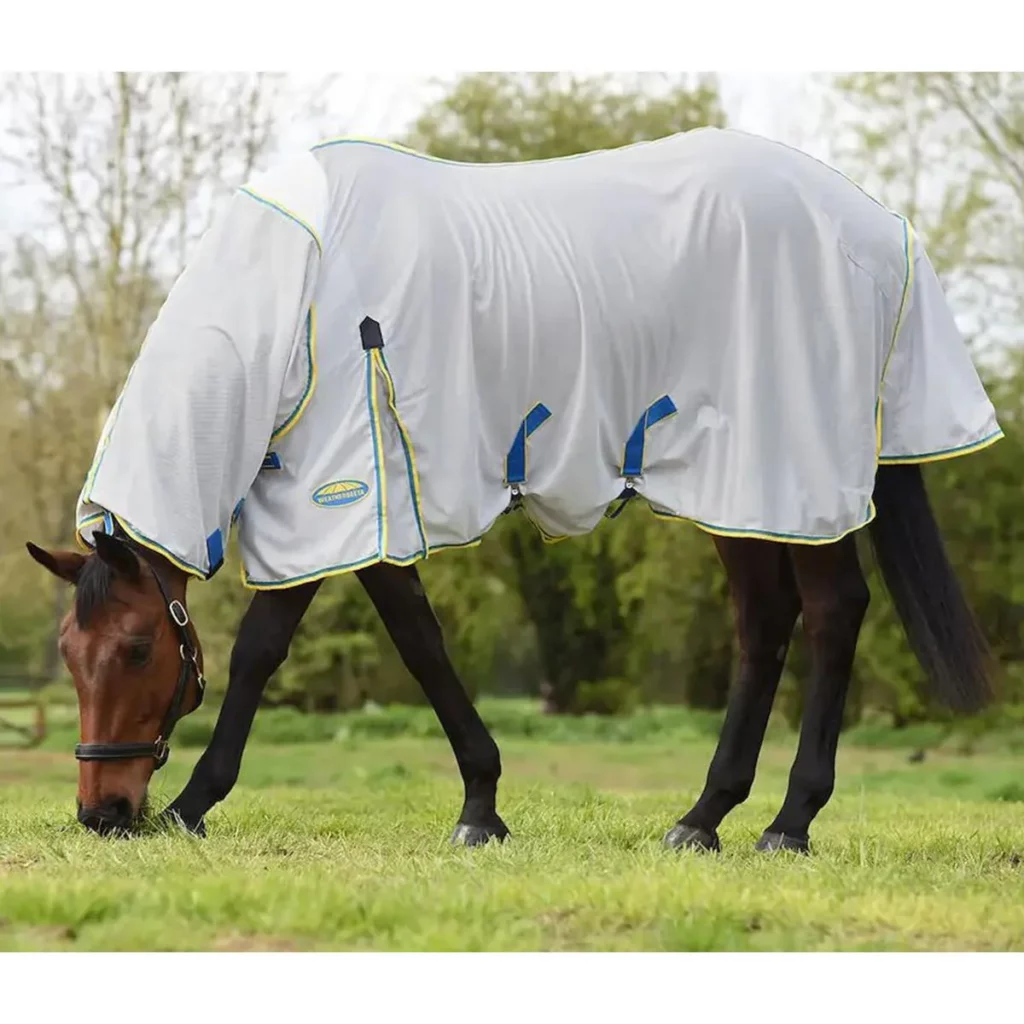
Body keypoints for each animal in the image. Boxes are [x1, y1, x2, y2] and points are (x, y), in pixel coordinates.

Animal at [26, 127, 1000, 851]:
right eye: (71, 653)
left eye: (139, 649)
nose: (103, 813)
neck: (295, 301)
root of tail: (876, 224)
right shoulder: (349, 501)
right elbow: (367, 643)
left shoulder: (353, 490)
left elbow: (320, 646)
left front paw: (198, 804)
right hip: (740, 494)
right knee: (766, 624)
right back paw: (703, 818)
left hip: (787, 472)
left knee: (833, 612)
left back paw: (788, 824)